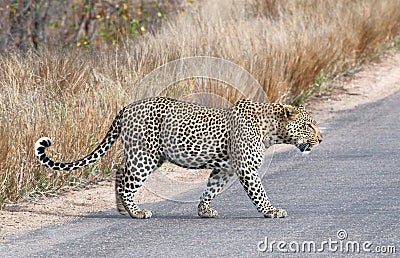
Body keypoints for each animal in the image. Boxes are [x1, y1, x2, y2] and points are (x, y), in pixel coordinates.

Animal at [34, 97, 322, 220]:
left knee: (119, 170)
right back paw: (136, 212)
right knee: (126, 180)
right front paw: (272, 211)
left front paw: (204, 210)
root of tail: (127, 106)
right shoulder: (246, 168)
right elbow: (259, 194)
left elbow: (211, 189)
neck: (272, 130)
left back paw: (123, 209)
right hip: (146, 155)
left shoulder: (226, 169)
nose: (321, 140)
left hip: (145, 155)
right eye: (309, 126)